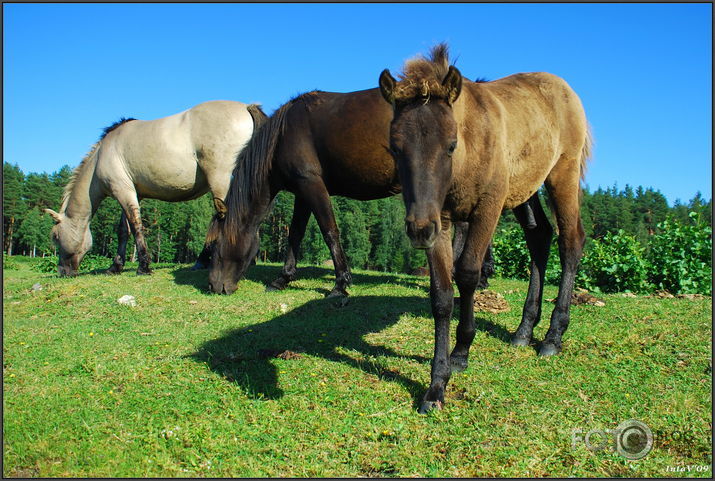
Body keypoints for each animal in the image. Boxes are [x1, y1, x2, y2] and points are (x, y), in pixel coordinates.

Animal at [46, 99, 268, 276]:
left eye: (55, 236)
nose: (62, 272)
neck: (102, 154)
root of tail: (246, 107)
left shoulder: (122, 190)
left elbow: (136, 226)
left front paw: (143, 266)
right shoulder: (132, 192)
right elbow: (123, 230)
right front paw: (116, 266)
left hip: (220, 178)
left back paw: (203, 260)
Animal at [380, 46, 592, 412]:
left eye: (451, 144)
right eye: (395, 148)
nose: (418, 230)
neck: (470, 149)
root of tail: (563, 87)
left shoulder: (487, 209)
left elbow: (468, 272)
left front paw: (461, 352)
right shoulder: (441, 220)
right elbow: (442, 294)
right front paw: (436, 386)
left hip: (561, 174)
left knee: (570, 241)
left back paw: (553, 336)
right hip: (525, 189)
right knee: (539, 236)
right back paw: (524, 330)